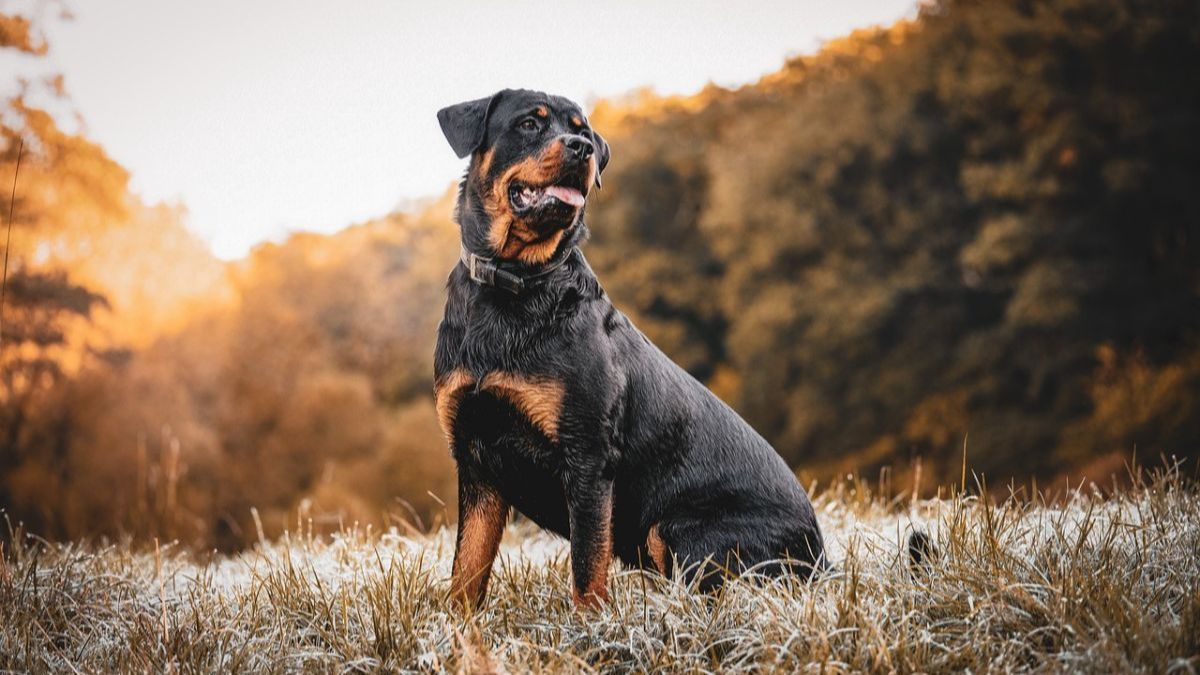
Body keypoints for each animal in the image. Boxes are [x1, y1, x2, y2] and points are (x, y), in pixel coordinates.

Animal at [439, 86, 825, 607]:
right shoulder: (476, 460)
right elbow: (467, 568)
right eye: (529, 124)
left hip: (677, 529)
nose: (581, 148)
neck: (516, 283)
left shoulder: (587, 458)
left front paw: (589, 627)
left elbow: (587, 568)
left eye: (582, 130)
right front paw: (457, 627)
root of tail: (821, 559)